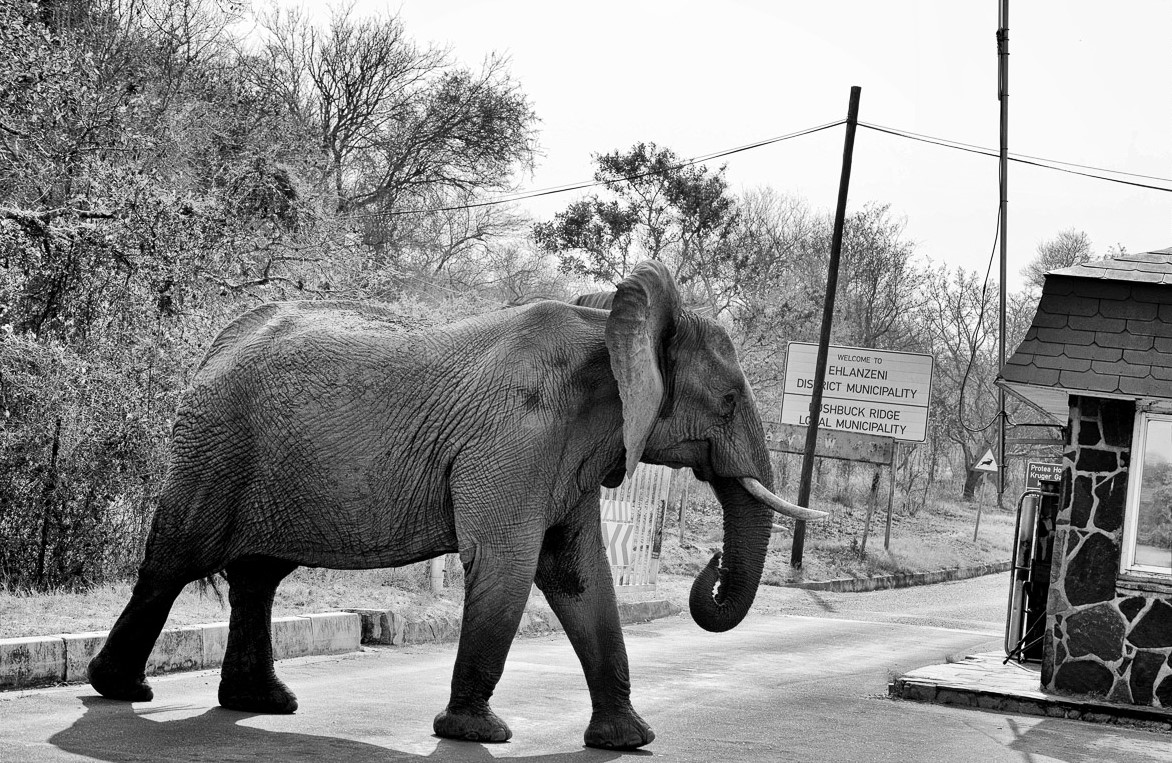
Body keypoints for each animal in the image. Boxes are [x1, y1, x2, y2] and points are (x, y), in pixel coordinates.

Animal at [86, 260, 825, 750]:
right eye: (726, 402)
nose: (712, 560)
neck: (609, 328)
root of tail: (217, 342)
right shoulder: (517, 438)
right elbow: (508, 562)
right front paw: (478, 733)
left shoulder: (569, 451)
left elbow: (580, 575)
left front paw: (629, 741)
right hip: (214, 445)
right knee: (173, 562)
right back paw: (122, 690)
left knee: (258, 575)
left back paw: (264, 703)